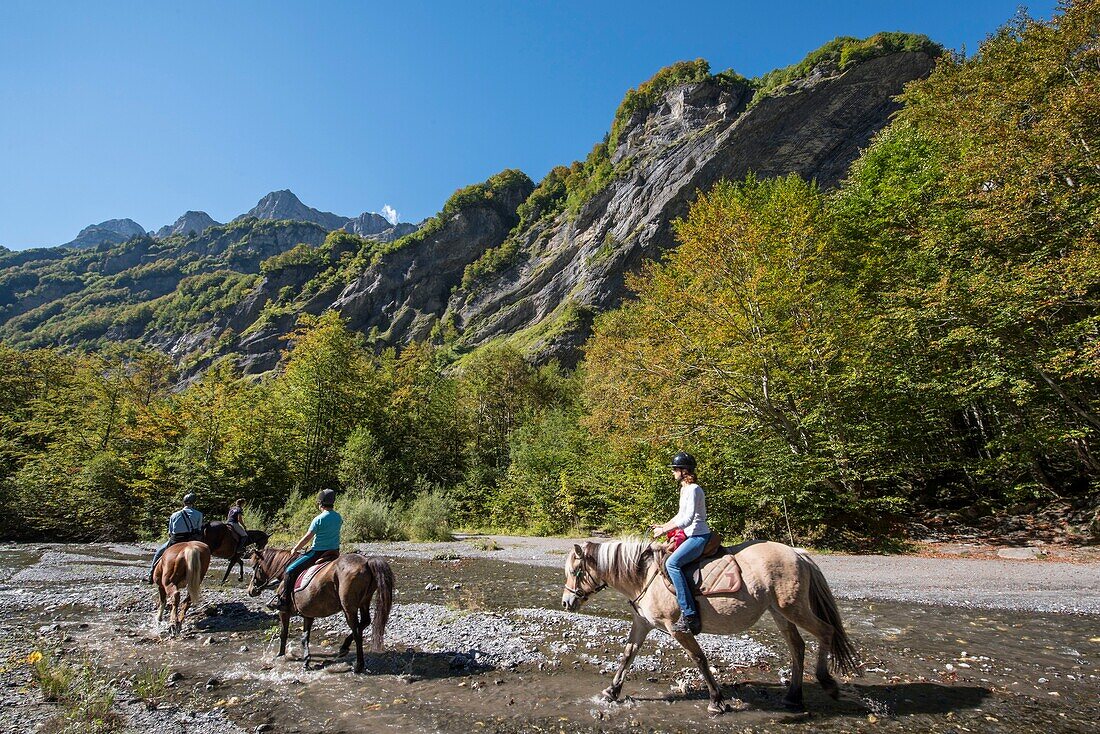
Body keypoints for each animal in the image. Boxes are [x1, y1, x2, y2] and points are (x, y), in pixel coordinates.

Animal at [247, 548, 393, 673]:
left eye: (255, 567)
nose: (251, 591)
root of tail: (366, 562)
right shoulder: (308, 614)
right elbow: (305, 638)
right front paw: (306, 661)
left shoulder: (283, 612)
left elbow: (283, 633)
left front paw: (280, 655)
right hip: (364, 602)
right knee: (365, 622)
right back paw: (343, 648)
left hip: (349, 608)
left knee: (357, 631)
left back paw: (358, 665)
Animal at [558, 537, 858, 713]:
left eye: (576, 571)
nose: (566, 602)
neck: (645, 577)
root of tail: (796, 552)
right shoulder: (642, 623)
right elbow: (628, 655)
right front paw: (611, 691)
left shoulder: (677, 628)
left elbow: (699, 658)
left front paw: (717, 700)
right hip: (780, 612)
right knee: (797, 646)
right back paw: (794, 696)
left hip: (793, 608)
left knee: (826, 631)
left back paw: (826, 683)